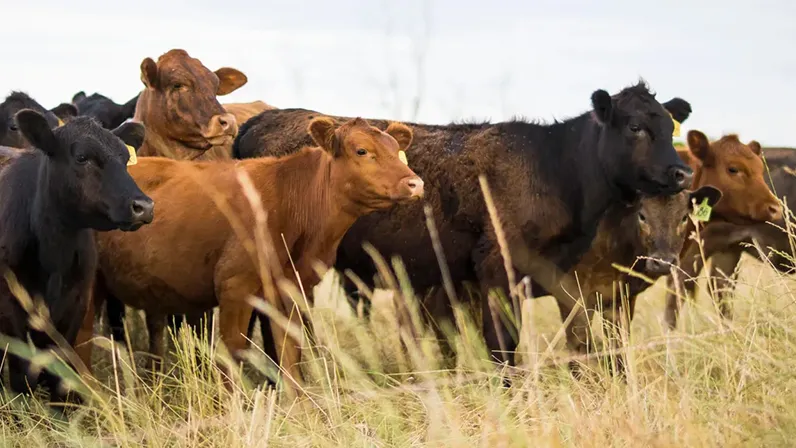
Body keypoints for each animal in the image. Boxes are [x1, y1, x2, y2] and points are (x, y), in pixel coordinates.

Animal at [0, 110, 154, 410]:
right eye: (82, 157)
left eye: (125, 159)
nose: (143, 206)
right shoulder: (10, 310)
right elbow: (21, 377)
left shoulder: (75, 305)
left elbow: (61, 373)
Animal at [87, 116, 422, 394]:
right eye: (361, 150)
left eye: (396, 150)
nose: (415, 183)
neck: (290, 201)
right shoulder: (235, 287)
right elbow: (233, 349)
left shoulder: (290, 288)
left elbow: (289, 349)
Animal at [233, 81, 693, 368]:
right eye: (635, 127)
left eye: (668, 126)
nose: (682, 172)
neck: (552, 167)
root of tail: (262, 119)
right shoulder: (495, 268)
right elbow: (504, 345)